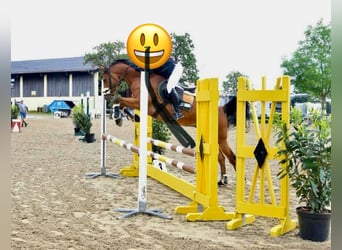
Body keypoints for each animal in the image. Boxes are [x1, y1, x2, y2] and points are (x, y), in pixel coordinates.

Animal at [101, 59, 240, 186]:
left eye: (104, 79)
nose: (105, 95)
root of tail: (221, 109)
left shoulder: (141, 103)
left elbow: (118, 99)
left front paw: (118, 116)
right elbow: (120, 102)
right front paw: (120, 116)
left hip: (221, 137)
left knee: (232, 157)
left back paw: (238, 182)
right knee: (221, 157)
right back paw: (222, 180)